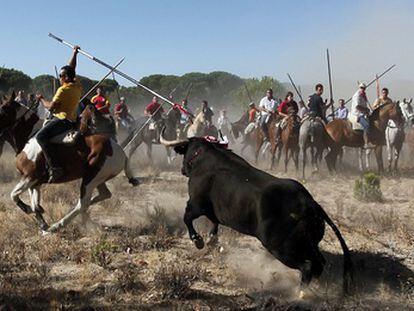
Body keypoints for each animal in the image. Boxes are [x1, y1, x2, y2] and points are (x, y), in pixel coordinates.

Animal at [0, 94, 139, 234]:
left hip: (90, 179)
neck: (28, 138)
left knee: (82, 204)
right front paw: (43, 225)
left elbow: (14, 195)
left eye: (3, 108)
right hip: (98, 178)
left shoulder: (29, 177)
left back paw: (58, 225)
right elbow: (35, 204)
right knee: (102, 195)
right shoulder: (35, 182)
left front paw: (30, 211)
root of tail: (120, 151)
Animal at [161, 135, 352, 294]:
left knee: (307, 266)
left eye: (185, 153)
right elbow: (214, 223)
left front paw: (198, 240)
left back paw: (300, 294)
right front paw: (211, 240)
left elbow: (187, 218)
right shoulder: (213, 212)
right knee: (319, 263)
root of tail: (309, 203)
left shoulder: (195, 205)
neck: (205, 158)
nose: (182, 170)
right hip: (308, 244)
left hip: (281, 247)